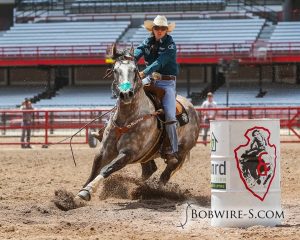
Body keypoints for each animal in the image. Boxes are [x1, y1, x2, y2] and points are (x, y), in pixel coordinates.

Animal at [74, 44, 202, 203]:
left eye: (134, 70)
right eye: (115, 70)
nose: (125, 94)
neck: (127, 118)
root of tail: (193, 109)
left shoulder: (128, 153)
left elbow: (107, 168)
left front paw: (87, 191)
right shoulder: (104, 151)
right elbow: (94, 169)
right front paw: (78, 194)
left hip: (180, 153)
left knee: (166, 173)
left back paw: (154, 191)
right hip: (147, 155)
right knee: (149, 170)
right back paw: (139, 188)